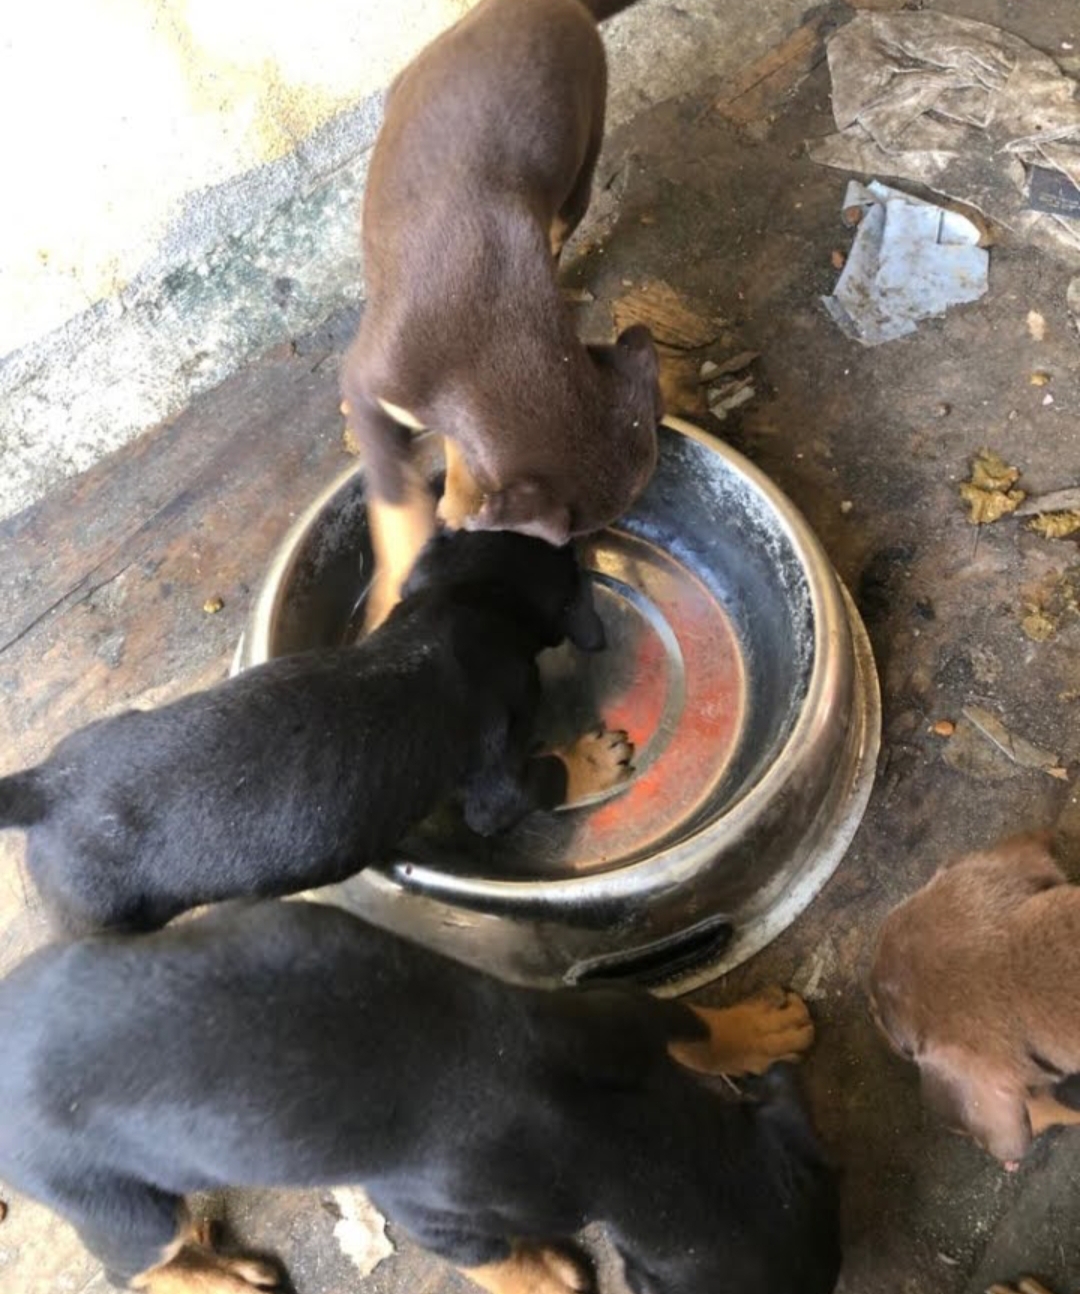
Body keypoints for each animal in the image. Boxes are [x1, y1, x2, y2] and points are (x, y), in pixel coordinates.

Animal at [0, 530, 633, 936]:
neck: (464, 603)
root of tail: (48, 791)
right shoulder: (498, 777)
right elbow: (538, 781)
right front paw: (594, 759)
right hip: (102, 914)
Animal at [0, 895, 843, 1294]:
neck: (627, 1141)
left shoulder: (615, 1015)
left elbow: (697, 1026)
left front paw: (758, 1029)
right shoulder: (431, 1212)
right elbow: (493, 1259)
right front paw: (542, 1278)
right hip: (122, 1208)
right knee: (137, 1266)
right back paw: (222, 1282)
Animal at [341, 0, 662, 621]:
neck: (493, 346)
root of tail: (560, 6)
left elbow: (458, 461)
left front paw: (455, 505)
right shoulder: (367, 384)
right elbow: (395, 504)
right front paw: (391, 589)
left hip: (584, 143)